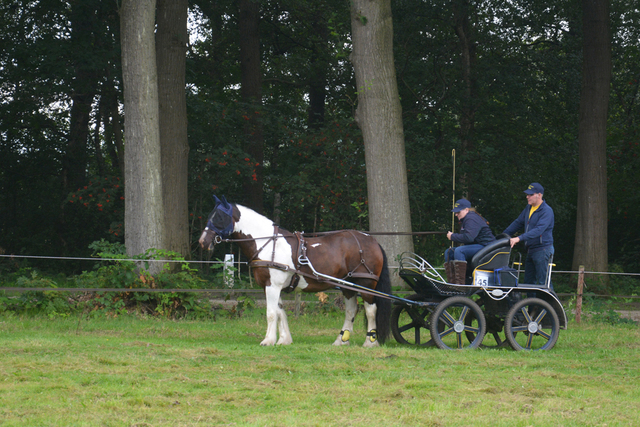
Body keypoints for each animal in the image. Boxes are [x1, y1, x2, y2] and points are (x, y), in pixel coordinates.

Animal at [198, 197, 392, 348]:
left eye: (220, 217)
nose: (203, 242)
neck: (269, 243)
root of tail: (371, 240)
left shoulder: (273, 286)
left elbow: (271, 313)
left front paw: (268, 340)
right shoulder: (271, 287)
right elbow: (280, 312)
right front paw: (284, 340)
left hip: (366, 284)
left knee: (370, 309)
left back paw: (370, 342)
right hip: (347, 286)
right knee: (351, 310)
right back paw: (341, 340)